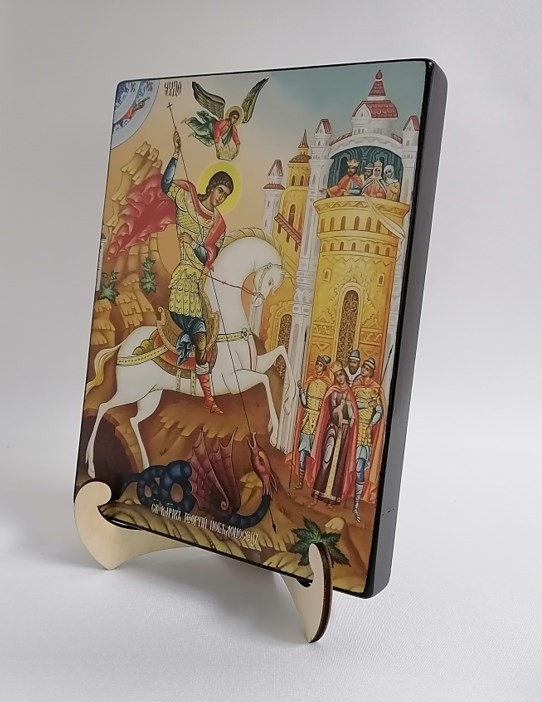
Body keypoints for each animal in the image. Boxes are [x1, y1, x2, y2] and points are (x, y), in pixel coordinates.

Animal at [85, 233, 297, 477]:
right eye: (270, 280)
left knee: (134, 420)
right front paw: (275, 433)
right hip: (131, 391)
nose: (258, 301)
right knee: (103, 408)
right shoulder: (234, 381)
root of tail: (123, 345)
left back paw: (146, 466)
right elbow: (265, 381)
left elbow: (281, 355)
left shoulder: (255, 365)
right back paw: (91, 466)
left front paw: (289, 403)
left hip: (150, 396)